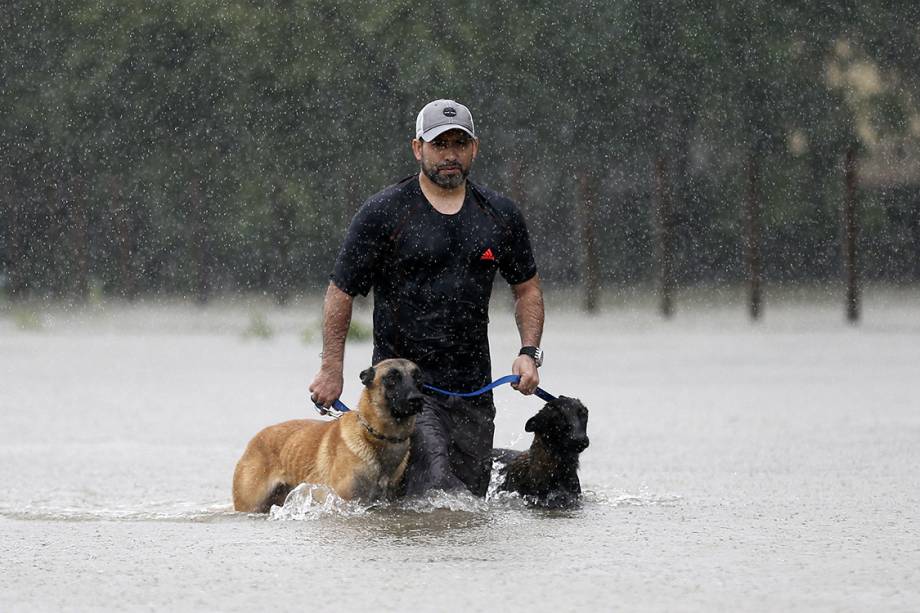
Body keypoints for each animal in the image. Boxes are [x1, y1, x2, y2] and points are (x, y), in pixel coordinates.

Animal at [234, 358, 428, 512]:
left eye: (418, 378)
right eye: (392, 378)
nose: (417, 399)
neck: (373, 436)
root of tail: (254, 440)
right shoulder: (345, 501)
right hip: (250, 505)